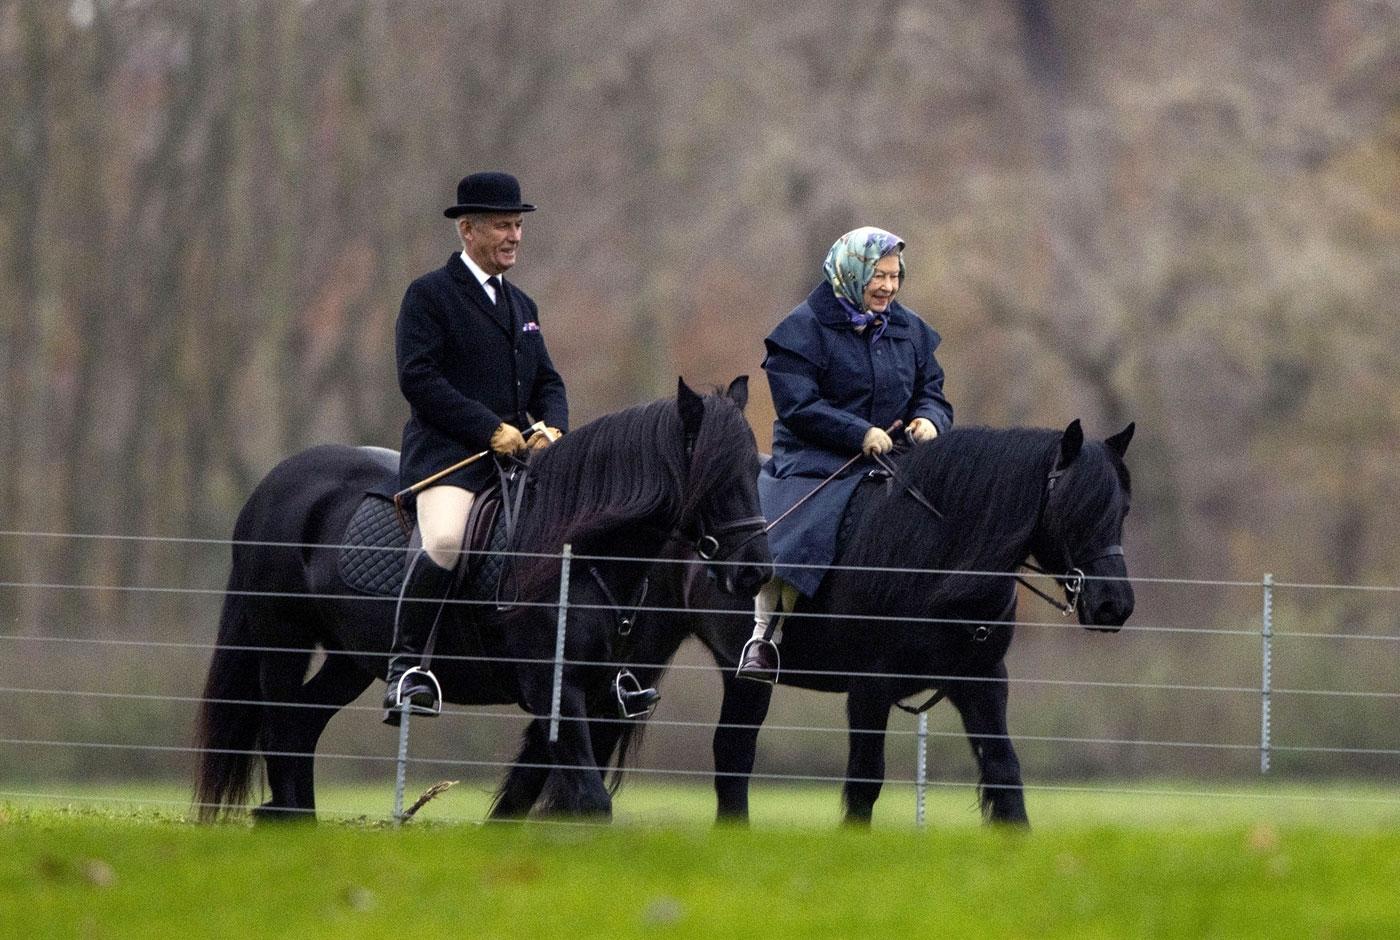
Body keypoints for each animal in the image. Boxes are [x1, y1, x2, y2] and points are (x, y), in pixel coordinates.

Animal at [191, 378, 772, 818]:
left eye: (755, 470)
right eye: (716, 474)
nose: (757, 571)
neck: (577, 552)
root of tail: (276, 481)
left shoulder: (596, 694)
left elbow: (539, 796)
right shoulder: (553, 688)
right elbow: (587, 798)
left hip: (351, 658)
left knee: (300, 726)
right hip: (281, 639)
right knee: (281, 727)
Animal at [515, 420, 1136, 823]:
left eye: (1122, 507)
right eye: (1075, 505)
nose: (1115, 605)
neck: (934, 554)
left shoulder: (982, 684)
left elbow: (1005, 774)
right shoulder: (869, 688)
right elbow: (865, 780)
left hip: (738, 680)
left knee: (730, 756)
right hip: (634, 655)